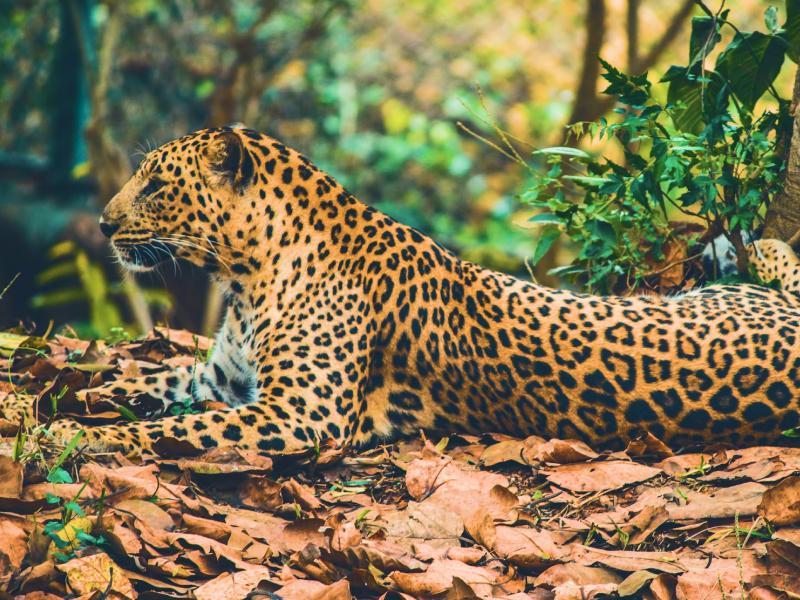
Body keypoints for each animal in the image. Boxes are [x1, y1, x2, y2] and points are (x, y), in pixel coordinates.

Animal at [19, 126, 800, 456]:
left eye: (156, 184)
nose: (102, 222)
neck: (243, 278)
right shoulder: (223, 378)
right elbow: (156, 381)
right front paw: (72, 395)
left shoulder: (301, 416)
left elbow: (176, 429)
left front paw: (86, 437)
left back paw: (756, 240)